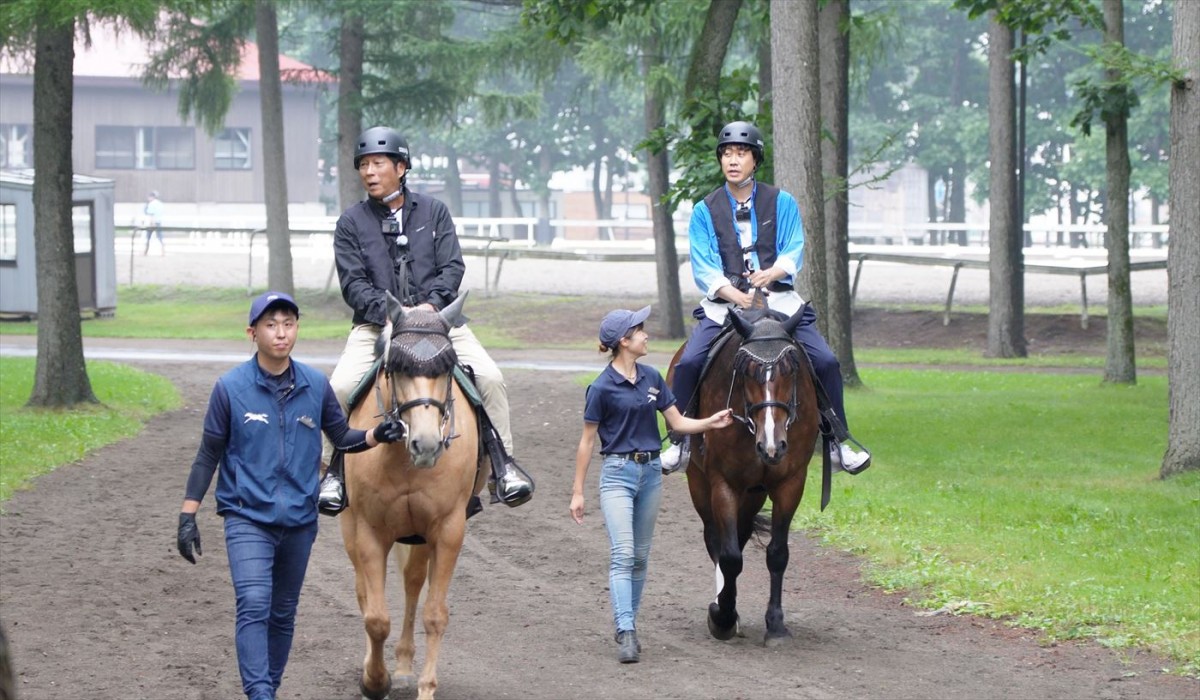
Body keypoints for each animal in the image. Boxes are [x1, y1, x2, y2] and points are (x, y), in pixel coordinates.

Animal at [340, 292, 484, 700]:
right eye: (398, 367)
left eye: (446, 368)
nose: (427, 444)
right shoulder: (370, 531)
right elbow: (375, 617)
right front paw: (374, 681)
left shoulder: (447, 530)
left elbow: (435, 614)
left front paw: (424, 688)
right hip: (351, 528)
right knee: (364, 592)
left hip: (419, 534)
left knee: (412, 583)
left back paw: (404, 666)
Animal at [667, 303, 825, 648]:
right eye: (747, 371)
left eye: (790, 369)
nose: (772, 445)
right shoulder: (723, 482)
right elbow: (729, 557)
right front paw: (722, 617)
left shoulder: (790, 483)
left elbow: (777, 554)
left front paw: (776, 625)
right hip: (701, 483)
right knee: (716, 540)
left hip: (754, 492)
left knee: (739, 535)